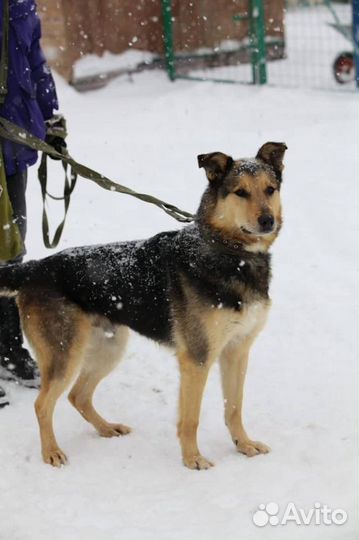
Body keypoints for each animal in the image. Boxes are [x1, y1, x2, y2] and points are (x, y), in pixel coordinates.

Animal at [0, 142, 286, 468]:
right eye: (240, 192)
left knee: (78, 396)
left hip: (110, 346)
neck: (229, 253)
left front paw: (244, 445)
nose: (267, 221)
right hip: (65, 354)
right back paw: (51, 451)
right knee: (42, 404)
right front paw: (192, 459)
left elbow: (234, 407)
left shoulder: (237, 351)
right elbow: (191, 418)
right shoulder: (197, 358)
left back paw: (106, 428)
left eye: (270, 189)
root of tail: (35, 267)